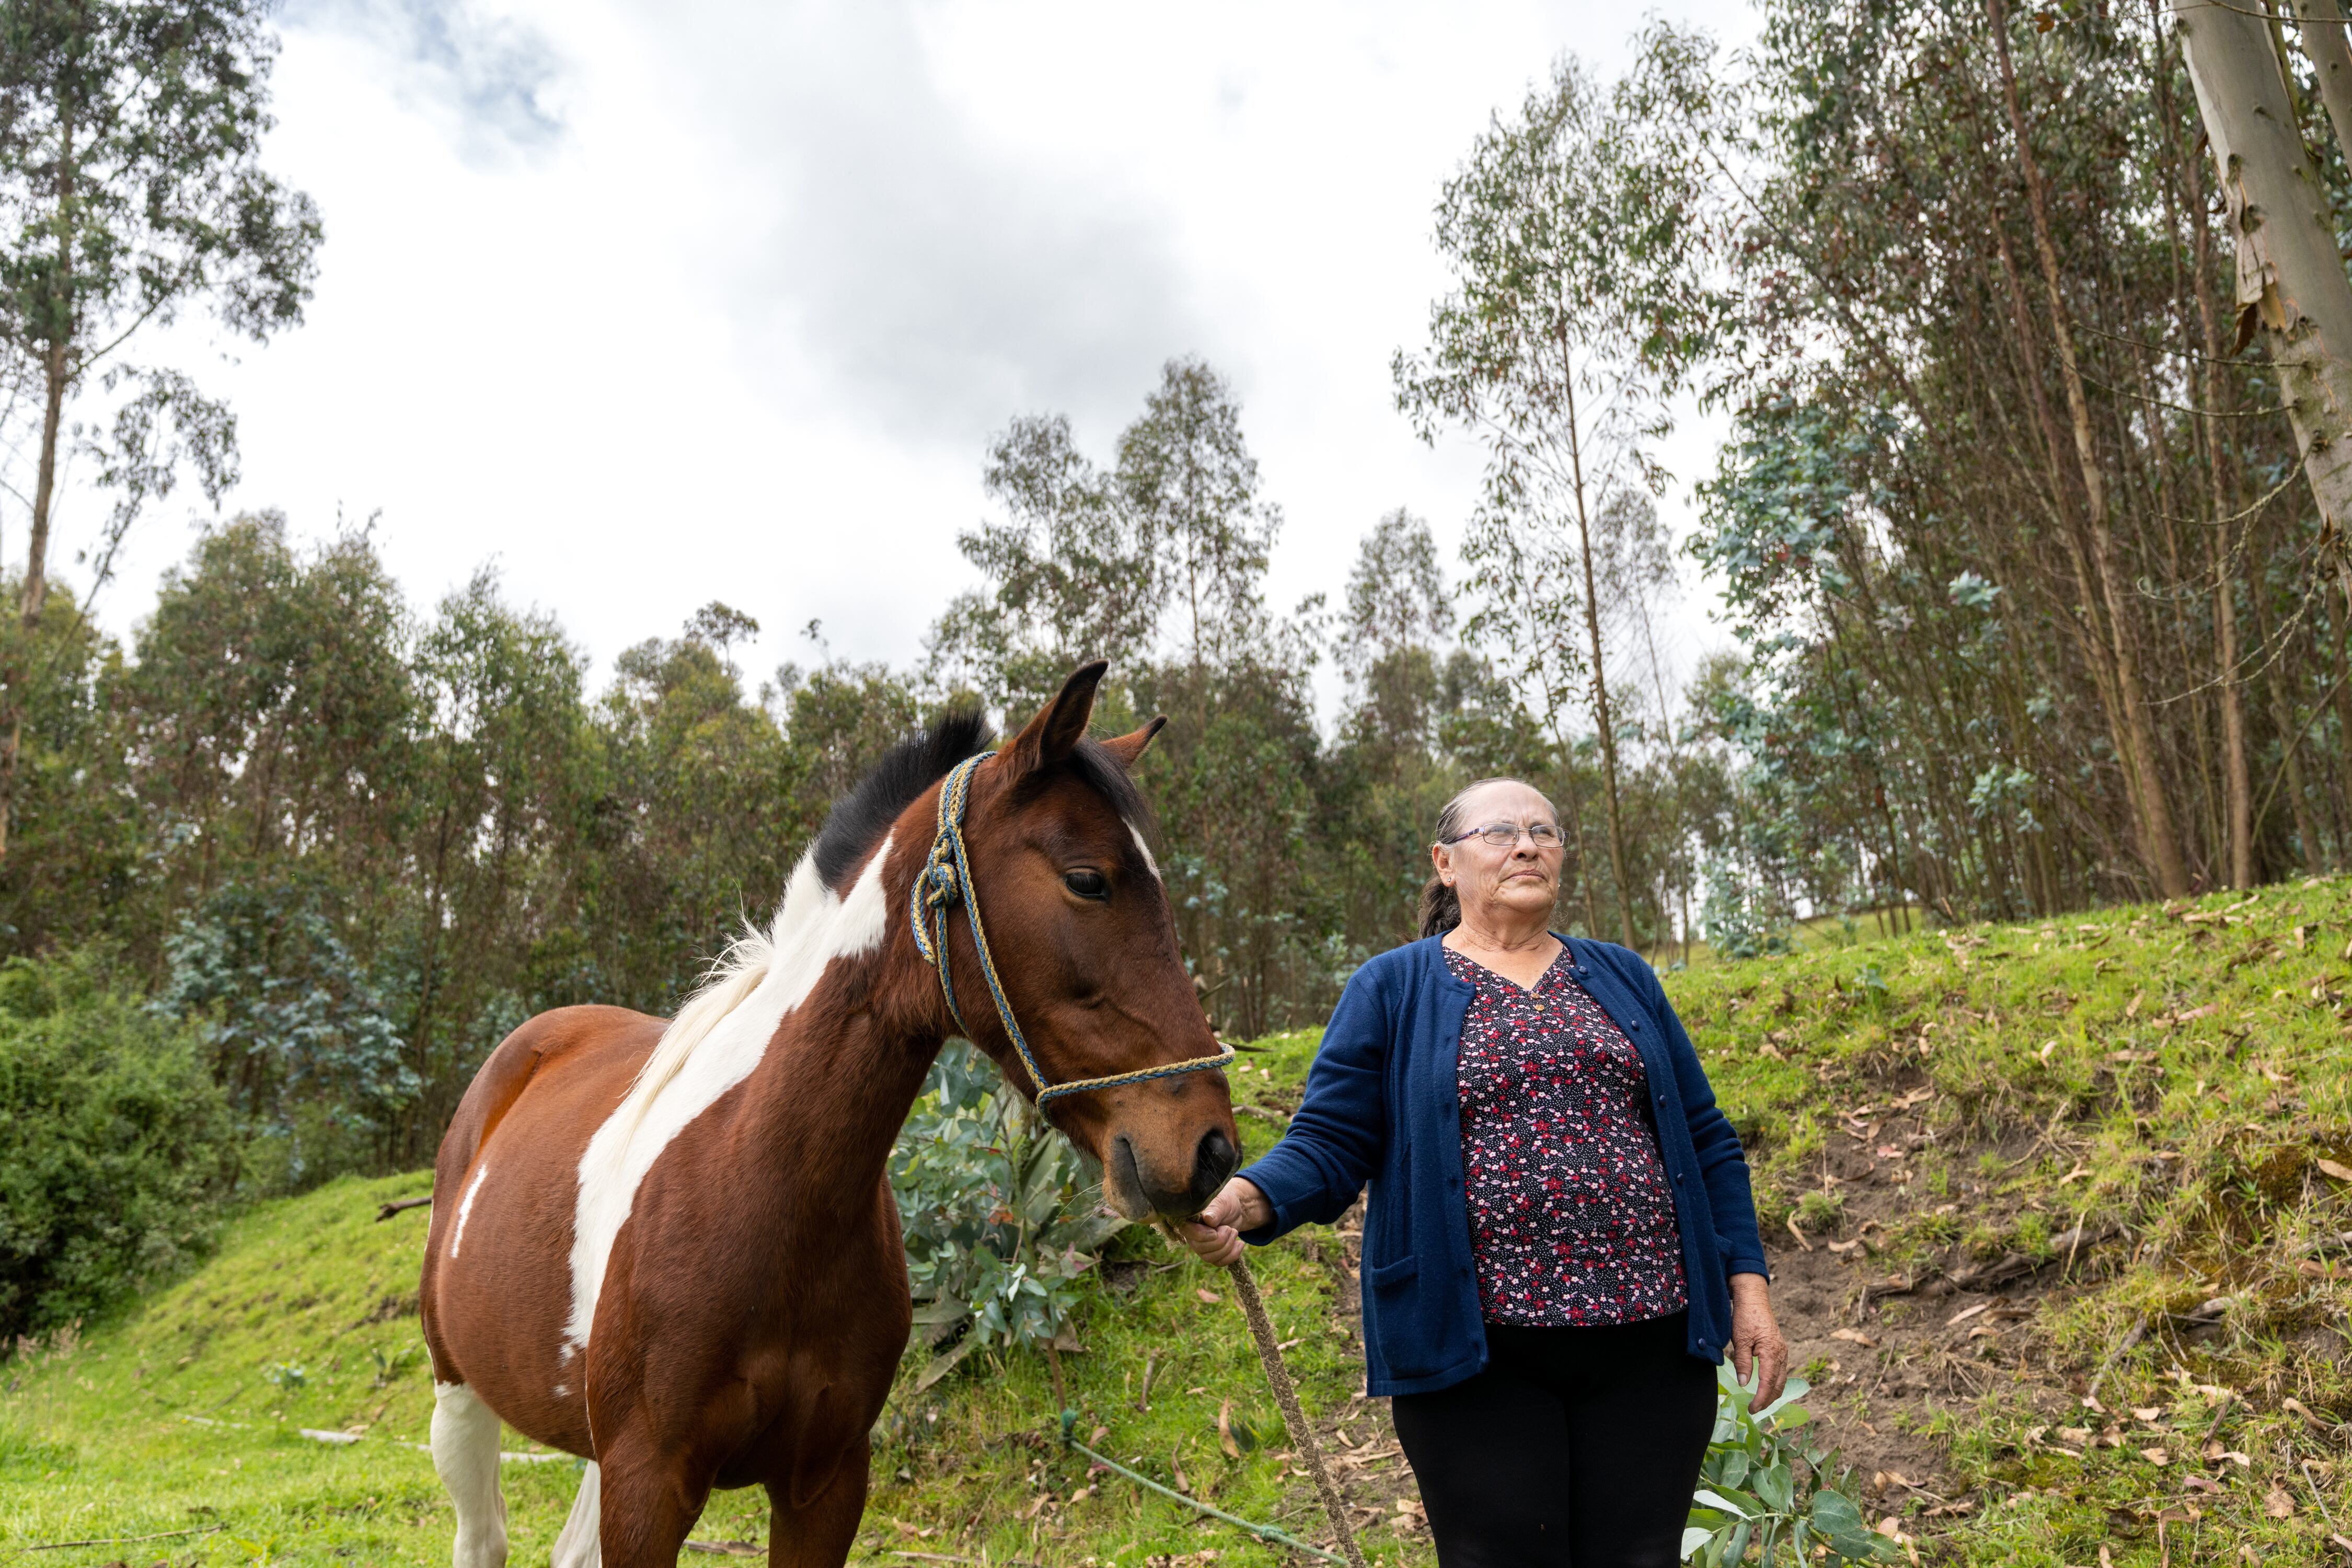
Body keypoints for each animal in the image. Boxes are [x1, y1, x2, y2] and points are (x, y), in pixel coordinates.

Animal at [421, 667, 1242, 1568]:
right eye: (1088, 879)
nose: (1210, 1150)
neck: (753, 1190)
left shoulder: (825, 1484)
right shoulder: (646, 1489)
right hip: (459, 1400)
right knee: (483, 1536)